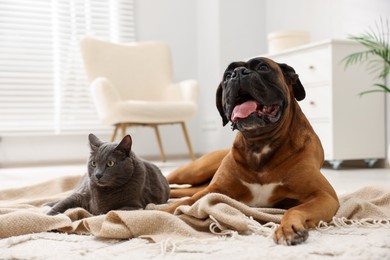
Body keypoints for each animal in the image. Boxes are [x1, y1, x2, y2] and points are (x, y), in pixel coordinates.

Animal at [161, 57, 338, 246]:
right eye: (227, 75)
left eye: (263, 67)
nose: (238, 73)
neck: (259, 144)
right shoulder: (213, 190)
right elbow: (181, 204)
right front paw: (158, 212)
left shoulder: (323, 195)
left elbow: (296, 209)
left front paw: (287, 228)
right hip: (194, 171)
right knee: (174, 183)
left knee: (180, 190)